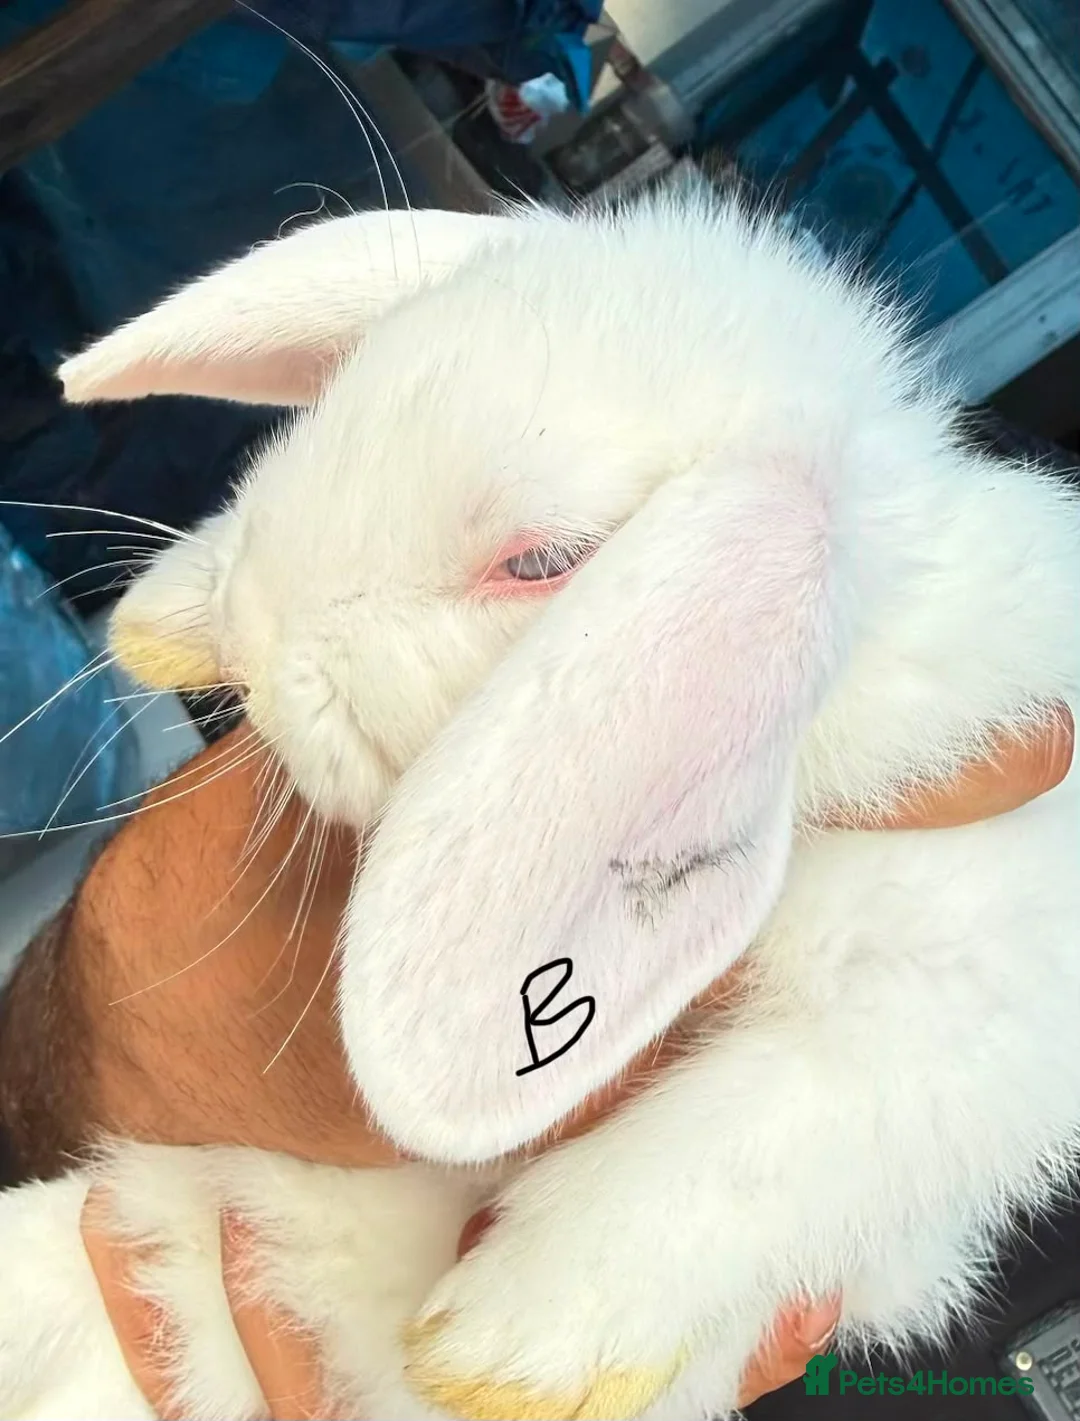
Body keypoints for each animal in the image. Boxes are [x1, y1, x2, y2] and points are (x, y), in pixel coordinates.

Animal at [1, 187, 1078, 1421]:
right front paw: (166, 607)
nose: (252, 637)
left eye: (541, 561)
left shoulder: (978, 982)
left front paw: (508, 1338)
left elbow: (788, 1119)